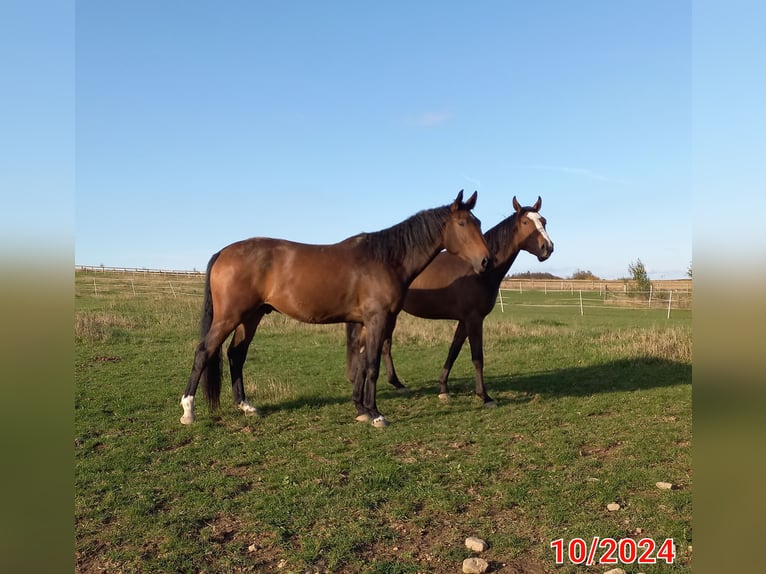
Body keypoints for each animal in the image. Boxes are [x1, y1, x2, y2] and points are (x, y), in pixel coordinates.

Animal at [181, 191, 492, 430]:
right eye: (462, 223)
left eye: (478, 222)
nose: (485, 261)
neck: (386, 259)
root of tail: (224, 252)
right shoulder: (378, 320)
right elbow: (372, 365)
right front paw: (376, 414)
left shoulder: (366, 323)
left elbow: (362, 364)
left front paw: (361, 409)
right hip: (229, 317)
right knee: (204, 351)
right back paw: (188, 410)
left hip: (251, 317)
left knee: (236, 354)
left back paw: (245, 405)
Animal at [346, 198, 552, 410]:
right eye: (526, 223)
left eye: (544, 221)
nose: (548, 247)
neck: (477, 271)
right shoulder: (474, 319)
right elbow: (477, 357)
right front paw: (485, 396)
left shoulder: (464, 320)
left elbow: (453, 351)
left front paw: (443, 388)